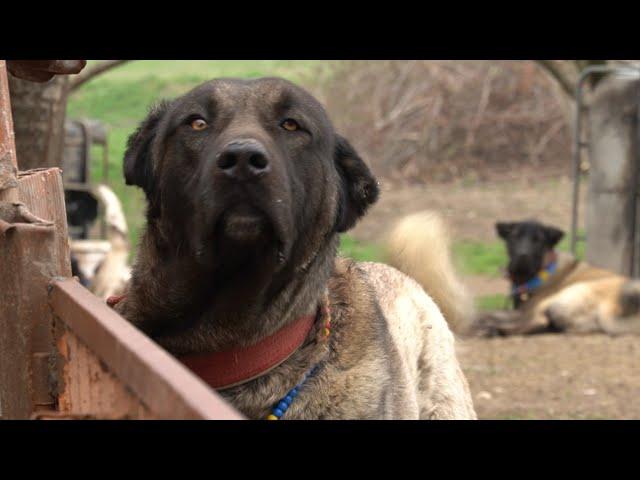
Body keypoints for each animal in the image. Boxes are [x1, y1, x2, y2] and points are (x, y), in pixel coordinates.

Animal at [472, 220, 640, 336]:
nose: (523, 255)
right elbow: (489, 313)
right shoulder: (520, 309)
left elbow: (493, 315)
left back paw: (495, 330)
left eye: (538, 240)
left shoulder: (528, 309)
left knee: (538, 321)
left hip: (558, 299)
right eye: (514, 237)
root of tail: (614, 305)